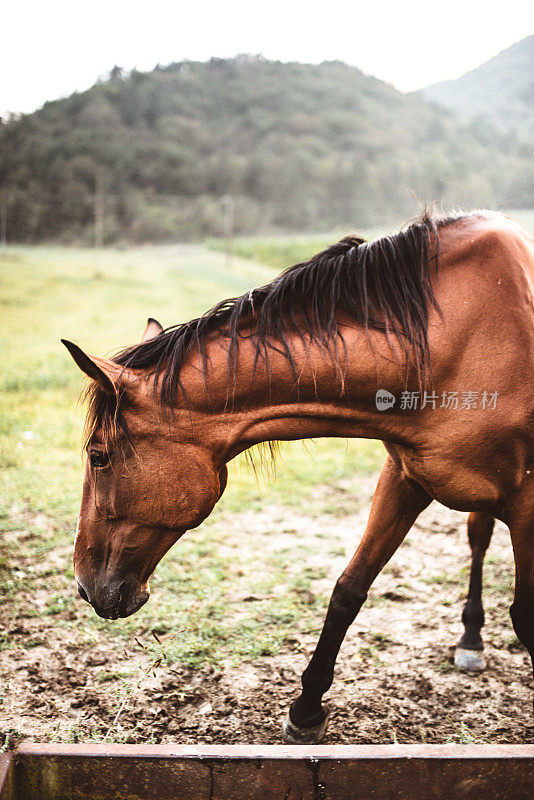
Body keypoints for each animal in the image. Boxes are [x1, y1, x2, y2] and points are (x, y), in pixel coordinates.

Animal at [63, 211, 534, 744]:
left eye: (98, 456)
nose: (84, 586)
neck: (456, 344)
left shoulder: (526, 505)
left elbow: (527, 617)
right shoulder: (405, 477)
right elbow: (349, 589)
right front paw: (306, 711)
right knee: (477, 538)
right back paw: (471, 637)